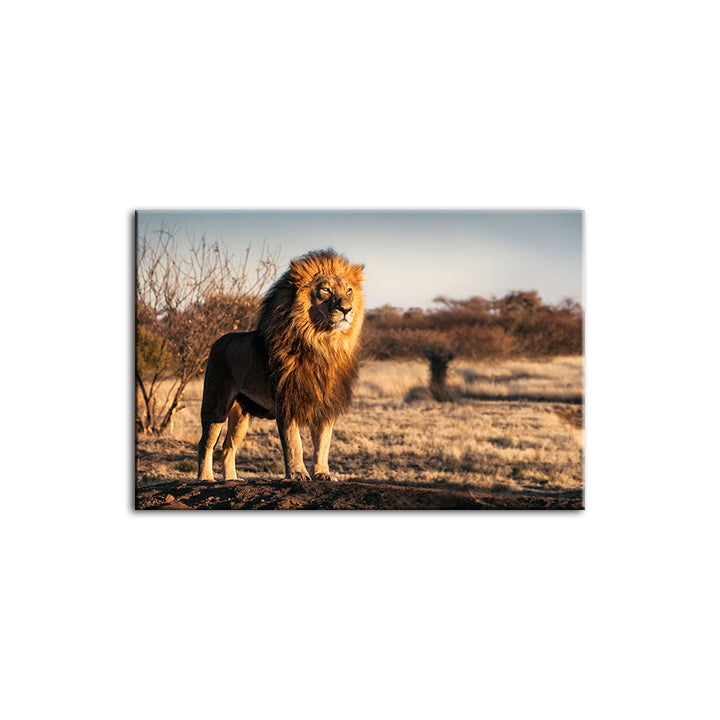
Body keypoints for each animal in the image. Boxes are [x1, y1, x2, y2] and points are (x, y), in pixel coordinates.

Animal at [198, 248, 366, 483]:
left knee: (228, 446)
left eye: (349, 290)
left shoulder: (326, 404)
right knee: (206, 443)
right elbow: (294, 443)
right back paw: (205, 478)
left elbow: (323, 443)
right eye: (325, 289)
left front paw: (322, 474)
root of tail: (218, 340)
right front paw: (297, 474)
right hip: (216, 404)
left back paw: (232, 479)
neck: (322, 343)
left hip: (241, 414)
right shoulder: (286, 400)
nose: (346, 309)